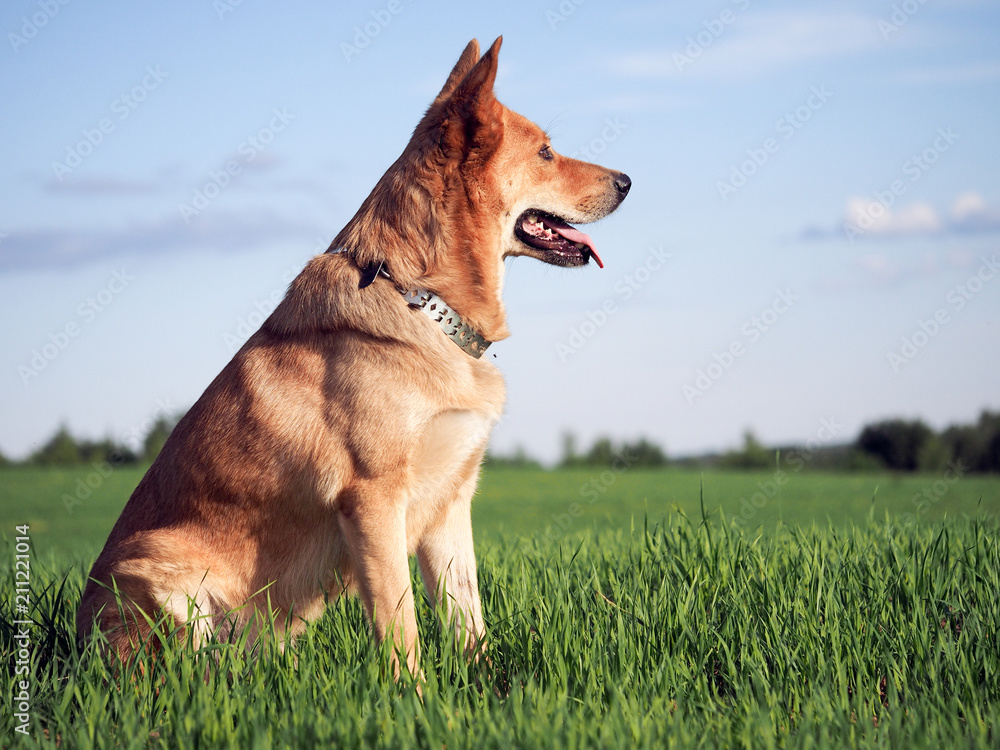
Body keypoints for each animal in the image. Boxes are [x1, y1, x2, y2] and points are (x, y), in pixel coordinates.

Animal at [82, 36, 632, 680]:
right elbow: (401, 626)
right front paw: (414, 698)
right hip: (159, 572)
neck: (422, 300)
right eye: (545, 152)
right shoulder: (372, 501)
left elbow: (468, 621)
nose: (628, 181)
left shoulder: (449, 505)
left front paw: (486, 690)